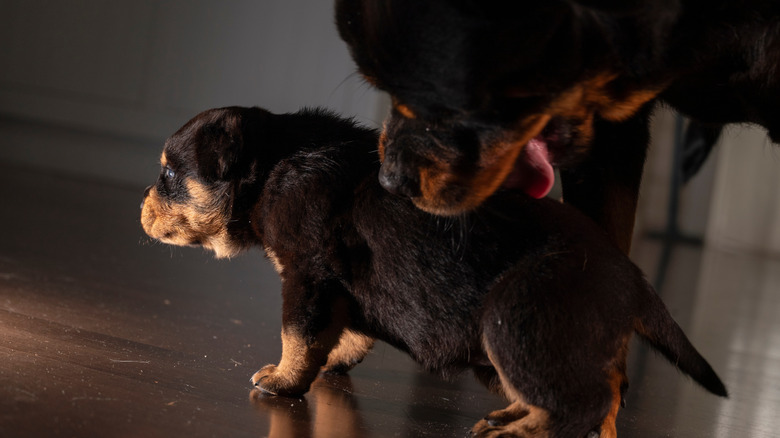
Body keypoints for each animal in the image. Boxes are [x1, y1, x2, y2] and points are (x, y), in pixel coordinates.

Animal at [139, 107, 724, 438]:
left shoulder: (307, 276)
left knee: (587, 401)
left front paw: (283, 381)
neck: (274, 164)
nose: (140, 207)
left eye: (168, 174)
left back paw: (519, 432)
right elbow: (347, 331)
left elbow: (298, 336)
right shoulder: (341, 288)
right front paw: (334, 361)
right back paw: (512, 419)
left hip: (513, 320)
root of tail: (633, 280)